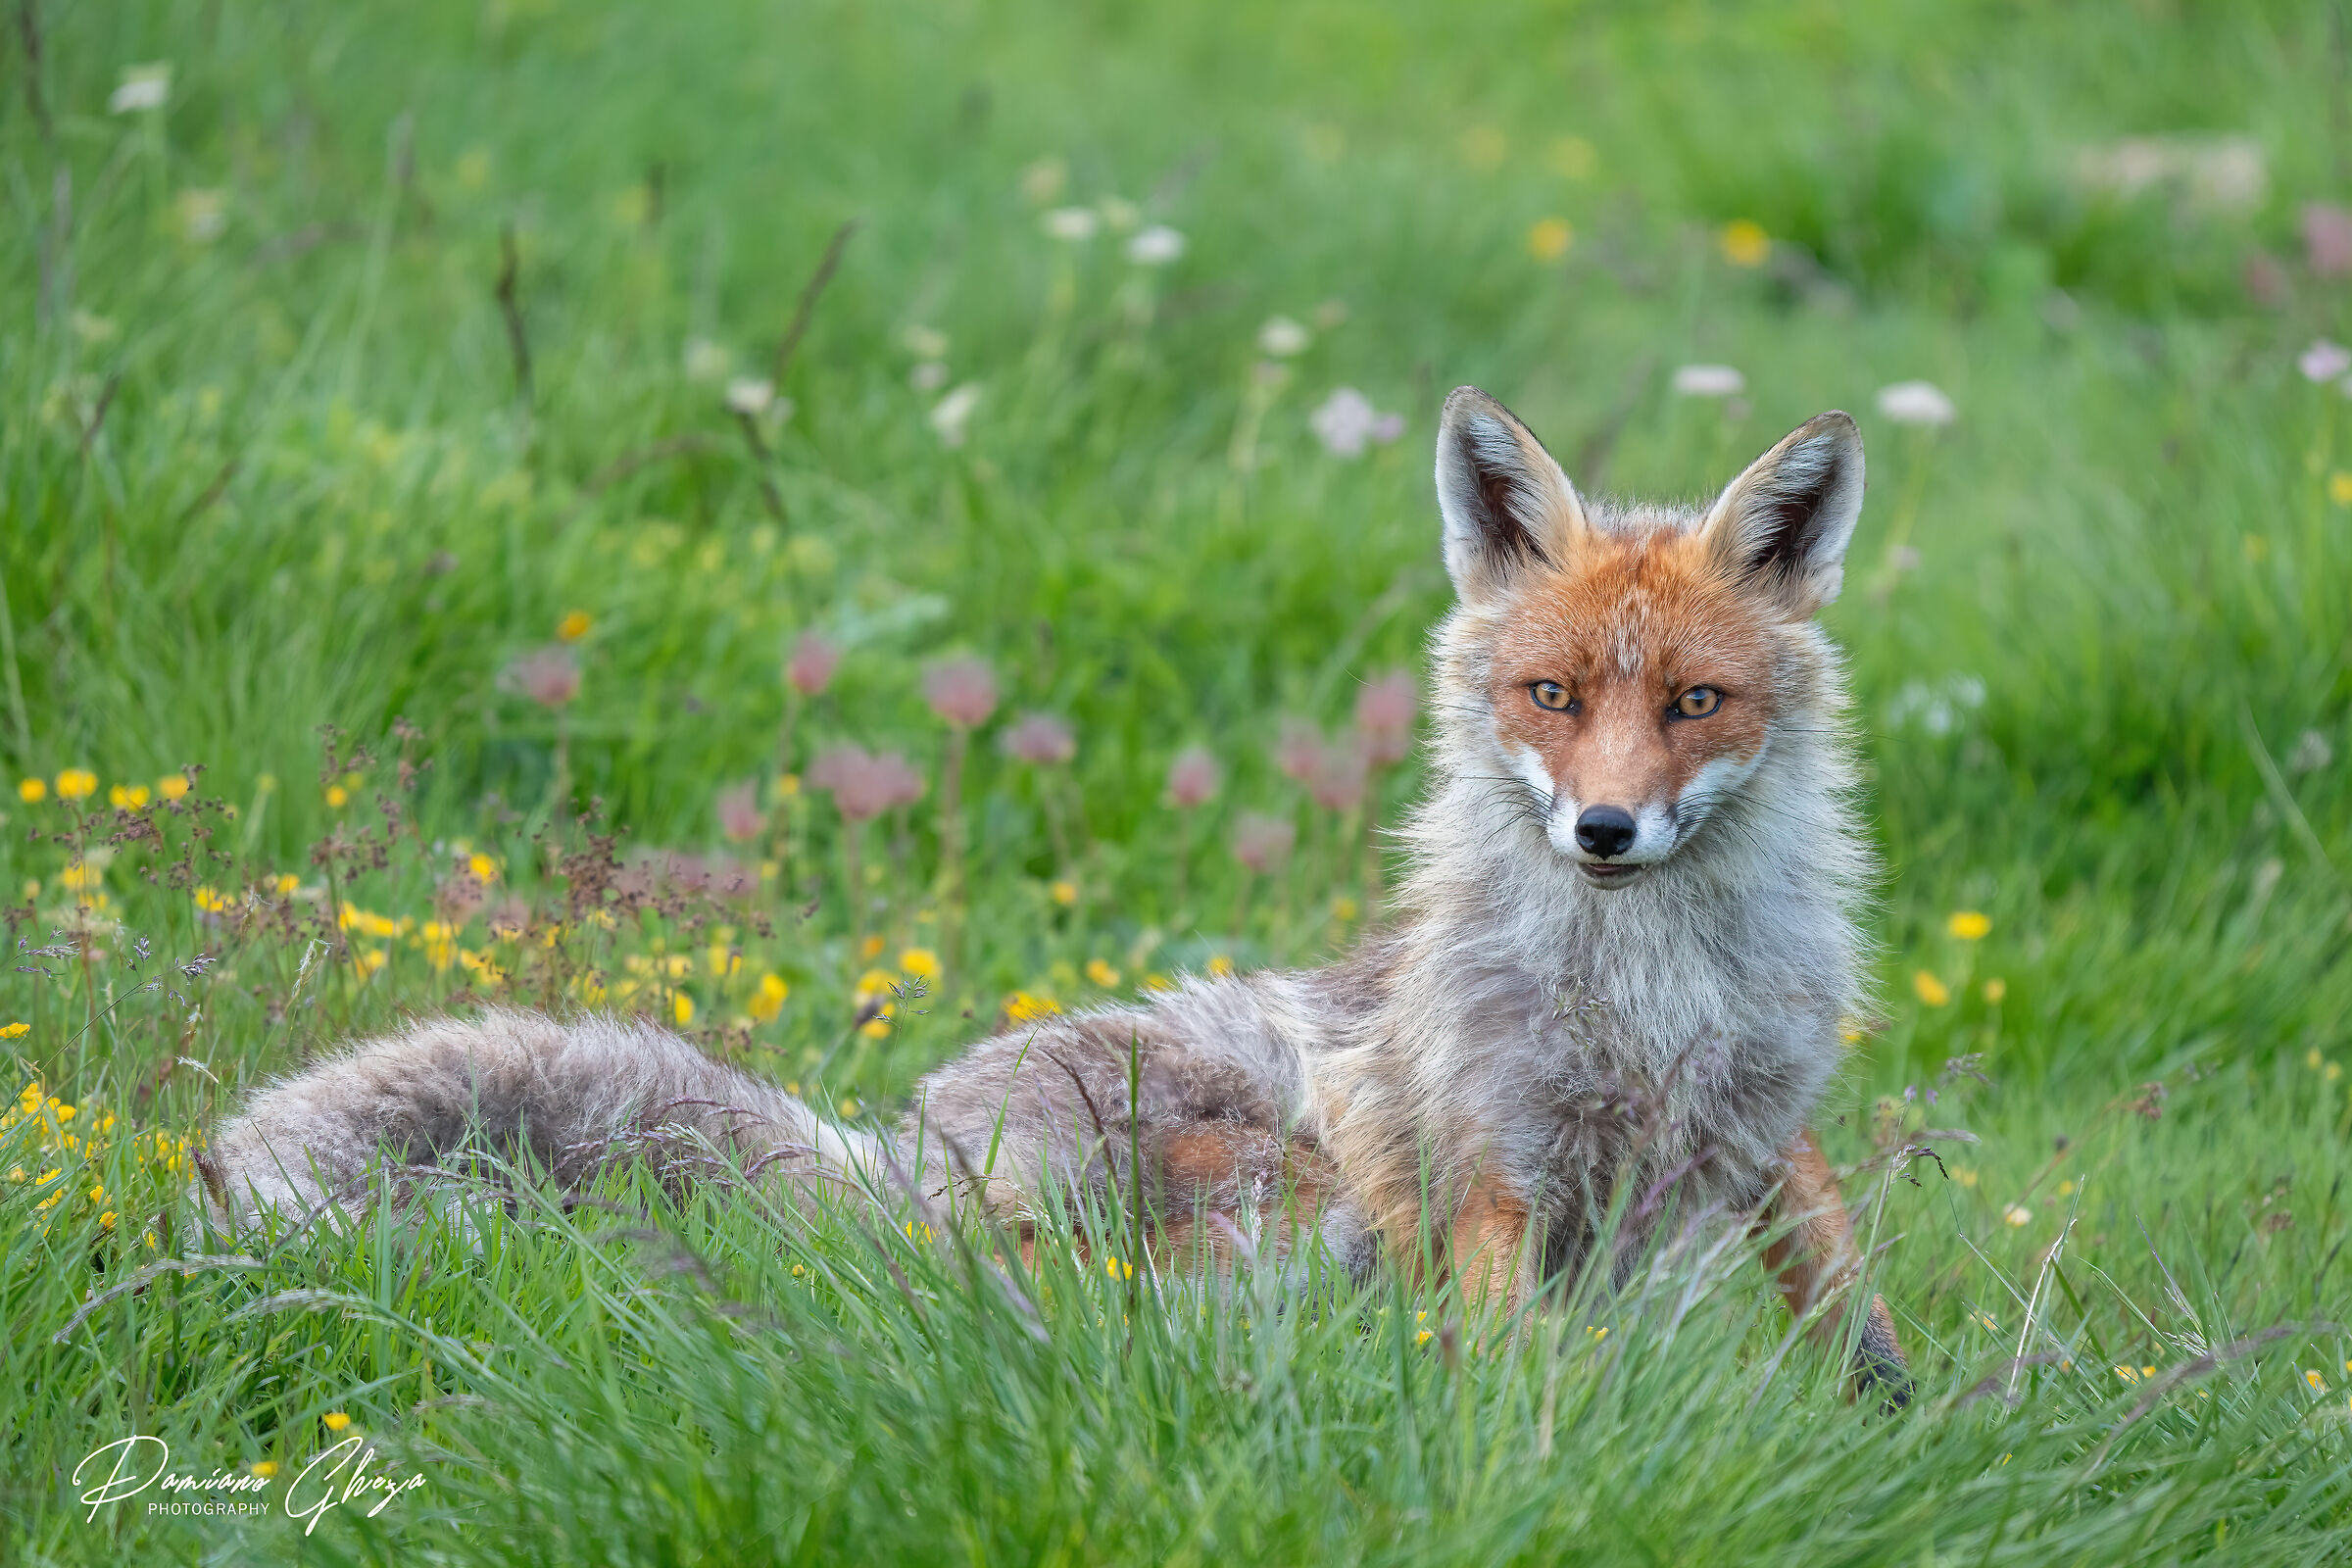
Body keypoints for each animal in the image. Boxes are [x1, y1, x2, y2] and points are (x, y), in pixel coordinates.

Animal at [201, 386, 1908, 1400]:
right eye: (1552, 696)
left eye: (1693, 703)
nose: (1606, 832)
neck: (1652, 993)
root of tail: (900, 1150)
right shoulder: (1495, 1160)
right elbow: (1520, 1373)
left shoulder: (1764, 1120)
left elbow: (1850, 1300)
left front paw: (1913, 1429)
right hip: (1278, 1189)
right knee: (1065, 1307)